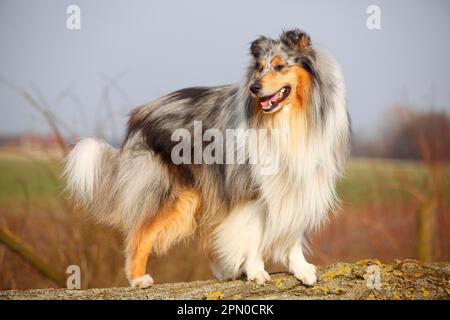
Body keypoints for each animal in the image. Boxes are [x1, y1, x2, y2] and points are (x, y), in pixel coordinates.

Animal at [64, 30, 352, 288]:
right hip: (175, 193)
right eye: (259, 68)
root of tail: (139, 115)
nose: (254, 87)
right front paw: (256, 271)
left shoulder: (298, 183)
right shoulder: (250, 189)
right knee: (140, 234)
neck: (289, 119)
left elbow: (292, 230)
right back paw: (138, 279)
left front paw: (301, 268)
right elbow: (254, 234)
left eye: (280, 66)